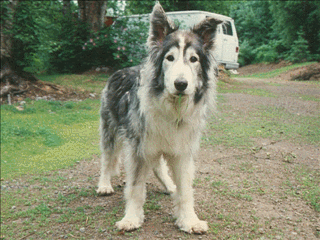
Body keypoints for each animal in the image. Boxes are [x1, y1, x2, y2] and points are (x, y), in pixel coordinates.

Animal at [97, 2, 222, 233]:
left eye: (193, 59)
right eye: (169, 58)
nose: (181, 84)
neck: (173, 107)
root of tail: (119, 70)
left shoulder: (181, 148)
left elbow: (185, 190)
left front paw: (189, 219)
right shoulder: (139, 147)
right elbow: (135, 187)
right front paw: (131, 218)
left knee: (157, 166)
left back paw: (169, 185)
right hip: (110, 128)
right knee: (107, 158)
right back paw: (104, 184)